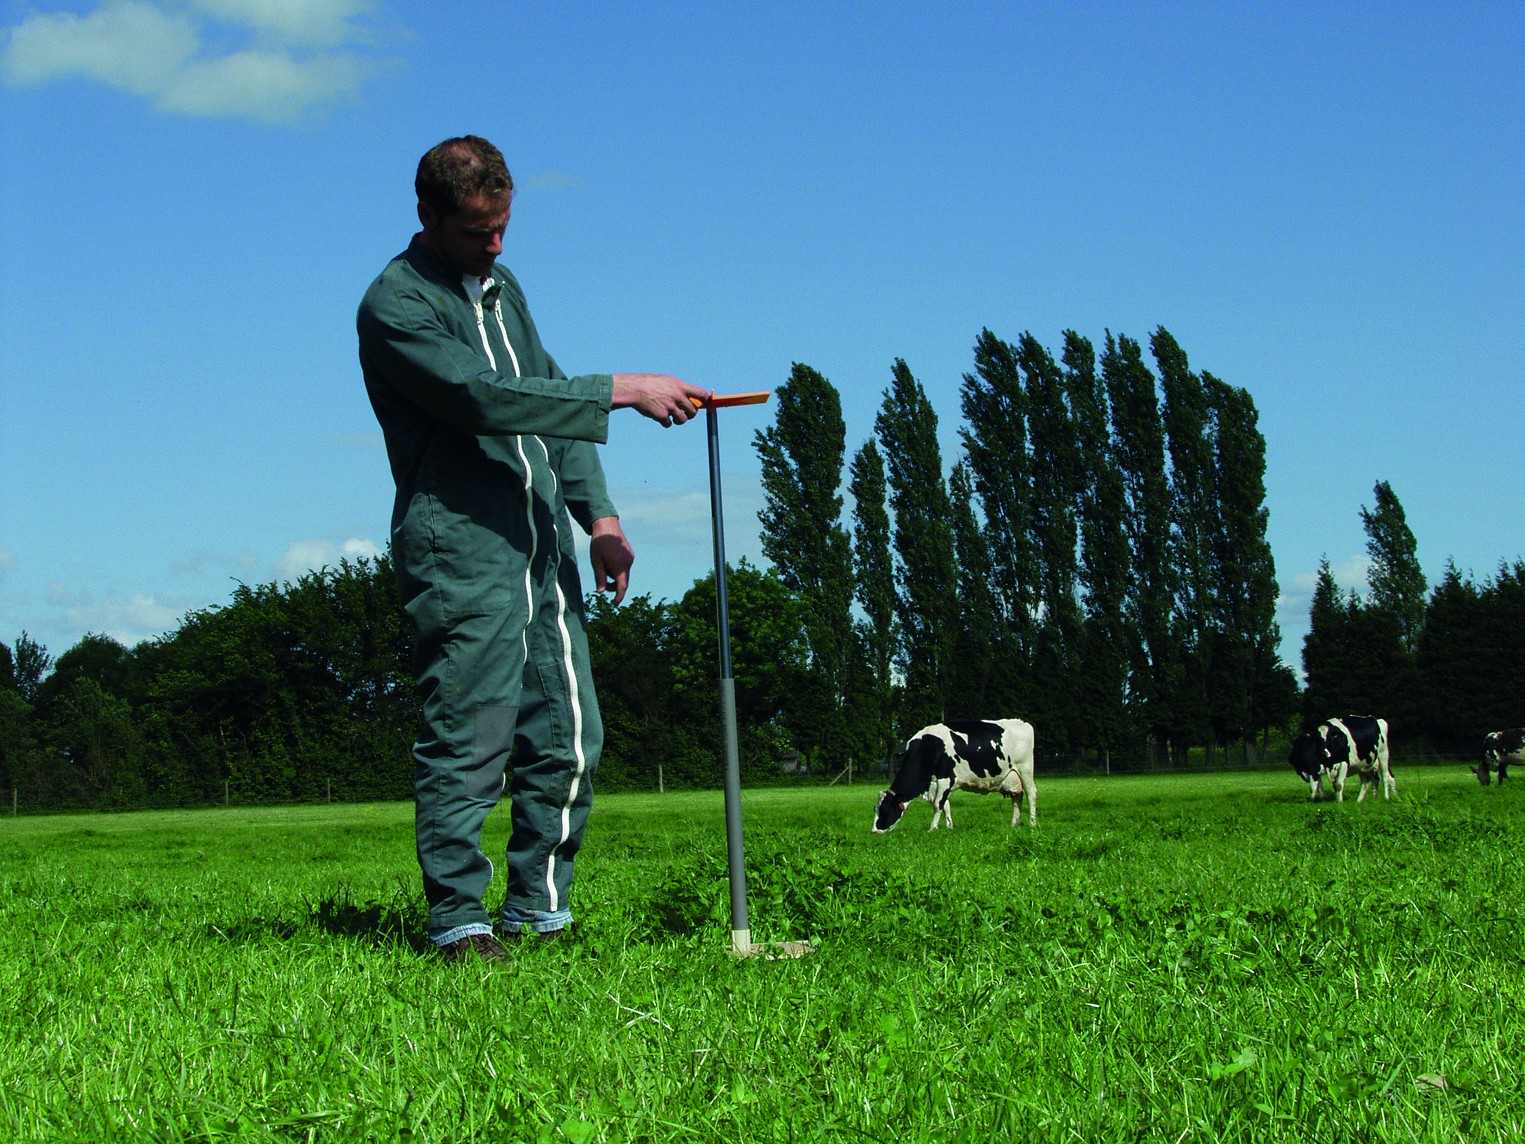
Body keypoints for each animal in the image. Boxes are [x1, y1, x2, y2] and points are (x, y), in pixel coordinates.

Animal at [872, 719, 1037, 835]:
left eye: (885, 810)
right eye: (875, 809)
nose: (874, 831)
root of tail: (1023, 723)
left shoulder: (945, 779)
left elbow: (937, 804)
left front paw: (932, 828)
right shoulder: (937, 785)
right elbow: (945, 805)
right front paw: (949, 827)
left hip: (1025, 769)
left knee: (1031, 794)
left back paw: (1032, 823)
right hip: (1013, 778)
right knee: (1017, 797)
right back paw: (1014, 824)